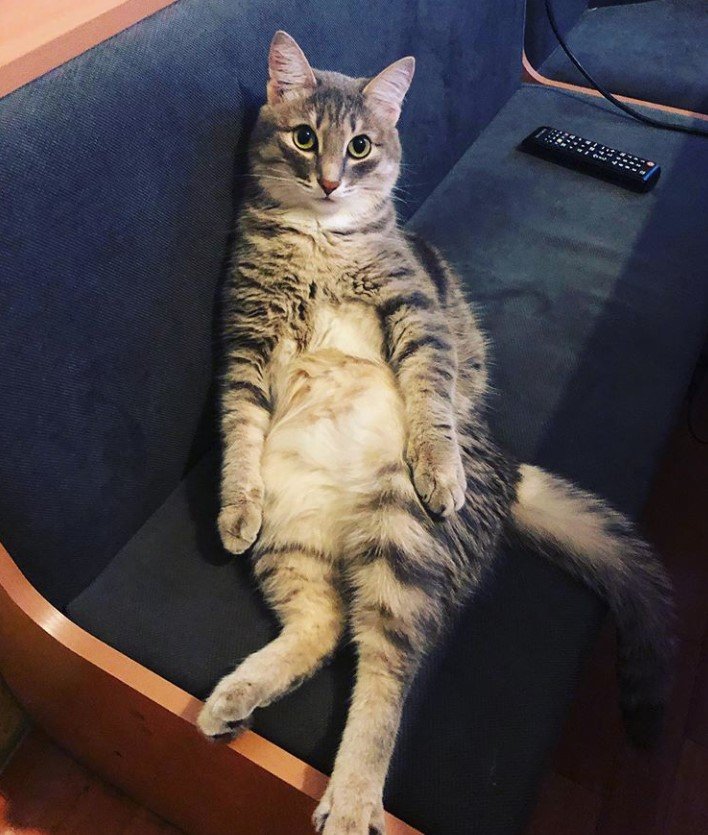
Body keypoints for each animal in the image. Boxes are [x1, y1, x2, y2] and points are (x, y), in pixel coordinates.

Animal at [198, 31, 676, 835]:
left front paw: (441, 465)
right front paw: (234, 504)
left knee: (388, 671)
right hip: (292, 539)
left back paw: (353, 797)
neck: (322, 238)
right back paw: (236, 696)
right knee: (325, 627)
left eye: (360, 145)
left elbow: (431, 388)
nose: (330, 181)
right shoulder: (246, 338)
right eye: (305, 139)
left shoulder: (417, 309)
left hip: (404, 535)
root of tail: (509, 473)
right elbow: (238, 427)